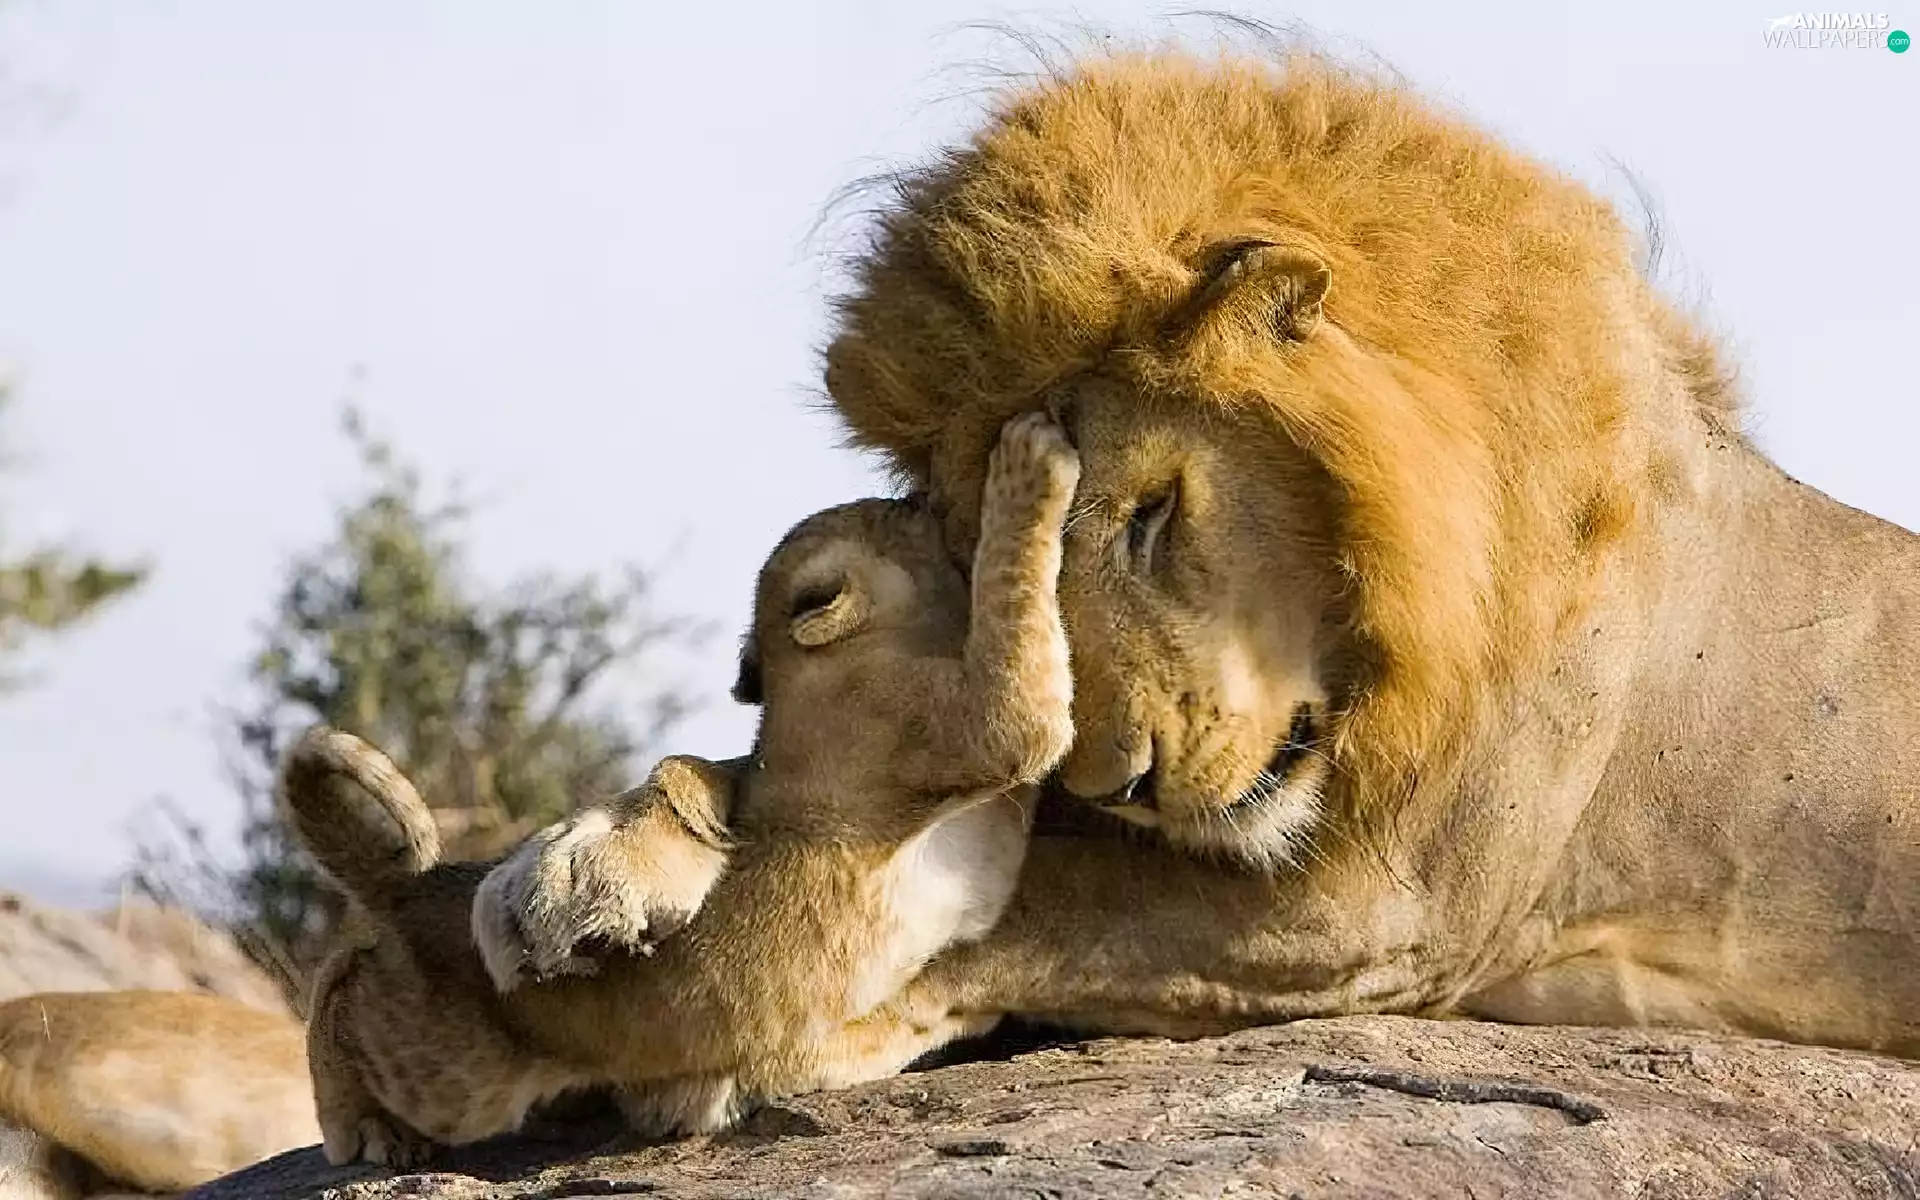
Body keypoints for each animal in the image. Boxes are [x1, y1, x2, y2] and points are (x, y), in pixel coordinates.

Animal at [290, 411, 1079, 1164]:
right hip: (441, 1068)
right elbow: (1014, 629)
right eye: (894, 516)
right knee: (337, 995)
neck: (816, 674)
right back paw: (369, 1128)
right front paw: (1030, 464)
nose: (916, 496)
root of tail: (413, 887)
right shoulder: (958, 721)